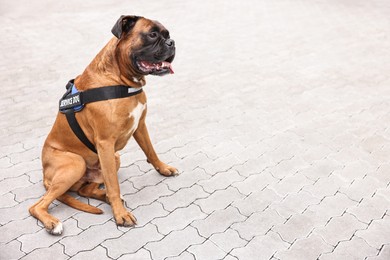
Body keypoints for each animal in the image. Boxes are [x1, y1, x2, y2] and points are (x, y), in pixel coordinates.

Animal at [29, 14, 178, 236]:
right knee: (37, 205)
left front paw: (164, 168)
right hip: (76, 163)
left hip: (113, 159)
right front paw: (120, 215)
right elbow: (114, 185)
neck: (121, 80)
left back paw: (104, 197)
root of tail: (45, 176)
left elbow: (151, 151)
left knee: (86, 190)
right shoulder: (106, 143)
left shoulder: (140, 126)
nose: (172, 42)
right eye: (152, 35)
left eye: (167, 35)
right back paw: (52, 222)